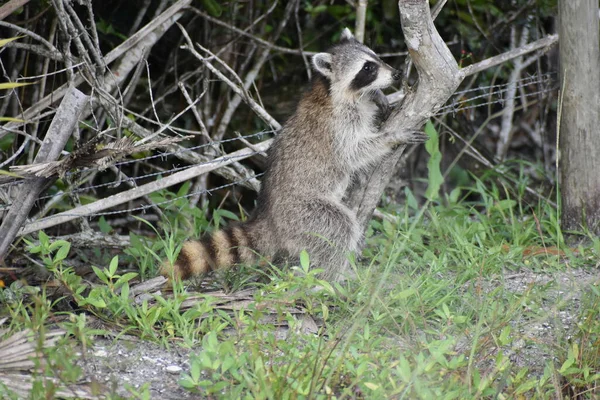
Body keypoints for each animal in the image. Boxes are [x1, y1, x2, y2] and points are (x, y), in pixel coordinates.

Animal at [161, 28, 426, 282]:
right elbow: (354, 152)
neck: (329, 90)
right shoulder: (336, 126)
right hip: (302, 212)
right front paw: (391, 136)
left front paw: (377, 96)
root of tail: (268, 219)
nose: (397, 74)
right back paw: (332, 278)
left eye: (376, 57)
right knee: (339, 227)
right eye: (368, 68)